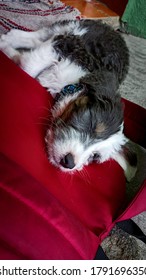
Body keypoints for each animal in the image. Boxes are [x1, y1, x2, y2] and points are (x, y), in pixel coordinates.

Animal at [0, 20, 137, 182]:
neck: (70, 85)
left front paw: (14, 55)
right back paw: (7, 41)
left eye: (94, 156)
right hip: (72, 30)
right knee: (35, 35)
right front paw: (13, 55)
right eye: (92, 124)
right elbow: (29, 67)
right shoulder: (66, 47)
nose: (69, 162)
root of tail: (117, 34)